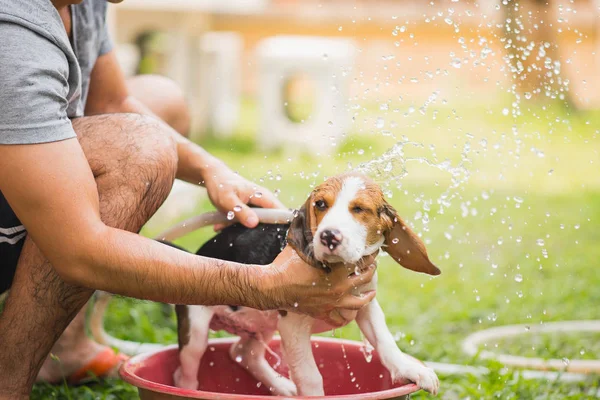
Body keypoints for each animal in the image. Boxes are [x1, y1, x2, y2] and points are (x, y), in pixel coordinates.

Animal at [173, 173, 440, 396]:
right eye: (320, 204)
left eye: (360, 209)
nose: (329, 236)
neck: (341, 267)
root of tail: (198, 252)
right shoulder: (293, 326)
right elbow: (310, 376)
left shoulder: (366, 304)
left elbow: (385, 342)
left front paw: (410, 369)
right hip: (196, 329)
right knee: (185, 370)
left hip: (264, 320)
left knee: (243, 353)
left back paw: (281, 386)